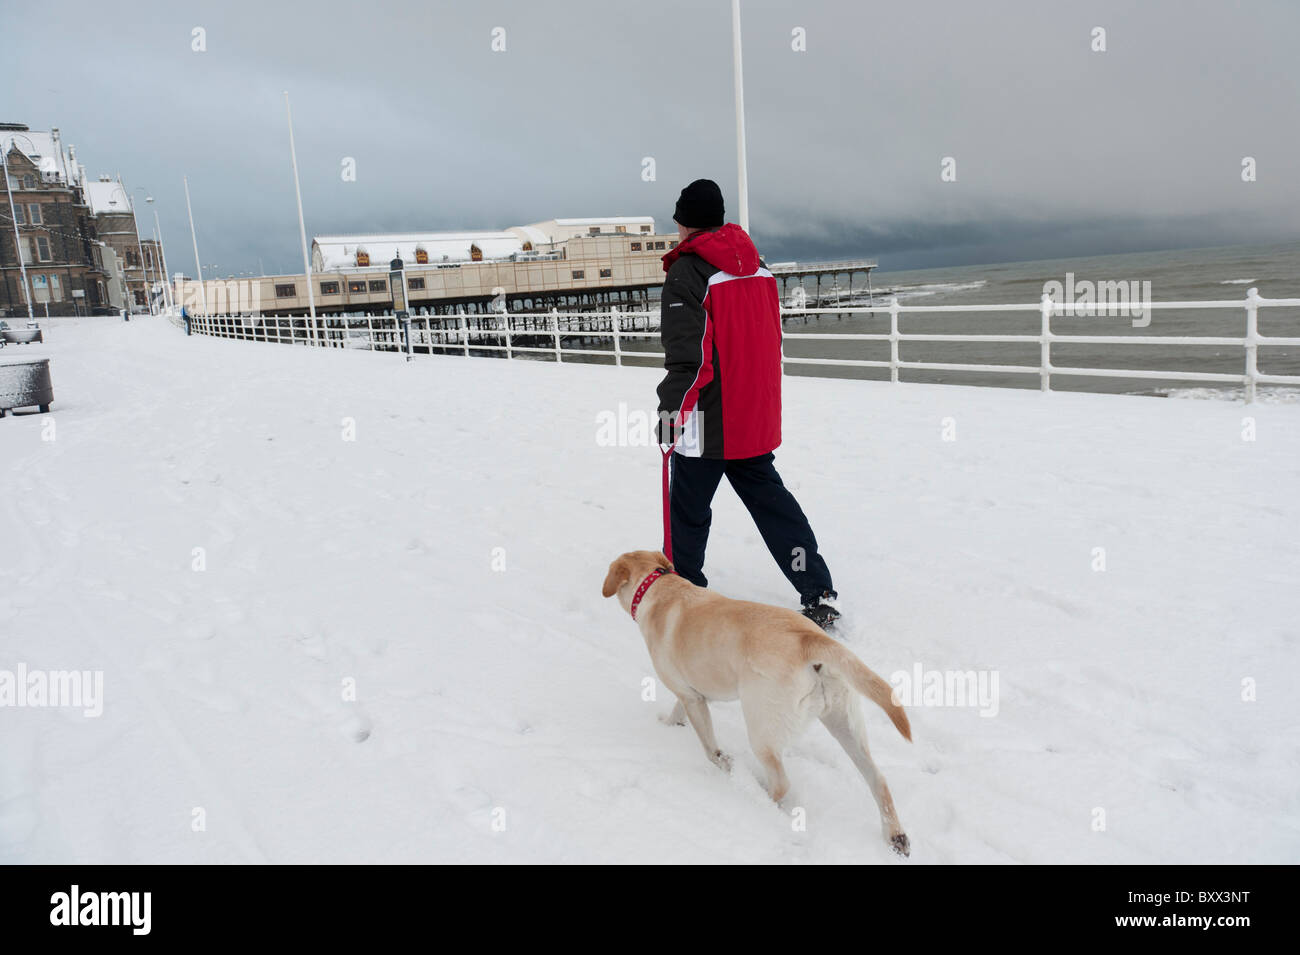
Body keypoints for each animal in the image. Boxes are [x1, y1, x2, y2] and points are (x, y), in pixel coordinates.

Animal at [600, 548, 915, 857]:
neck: (659, 586)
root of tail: (808, 638)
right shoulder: (692, 693)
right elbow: (681, 711)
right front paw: (671, 724)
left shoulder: (691, 696)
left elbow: (710, 748)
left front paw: (720, 760)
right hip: (844, 723)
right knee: (878, 780)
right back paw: (895, 836)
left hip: (761, 727)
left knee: (781, 783)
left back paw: (756, 794)